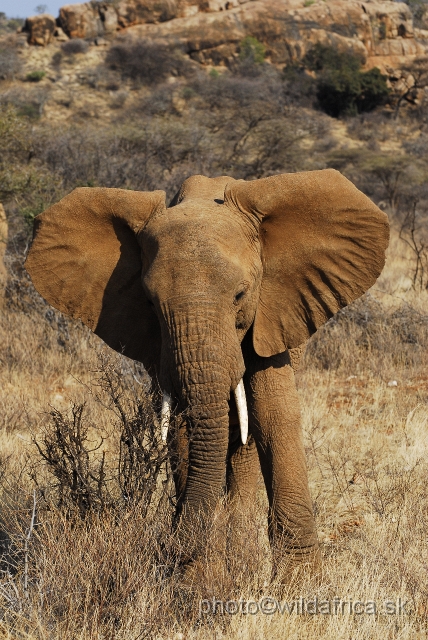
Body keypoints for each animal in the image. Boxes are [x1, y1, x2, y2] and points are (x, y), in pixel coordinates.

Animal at [25, 169, 390, 580]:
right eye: (150, 303)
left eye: (241, 295)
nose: (167, 548)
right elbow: (183, 428)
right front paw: (198, 578)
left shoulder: (271, 312)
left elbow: (272, 414)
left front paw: (299, 584)